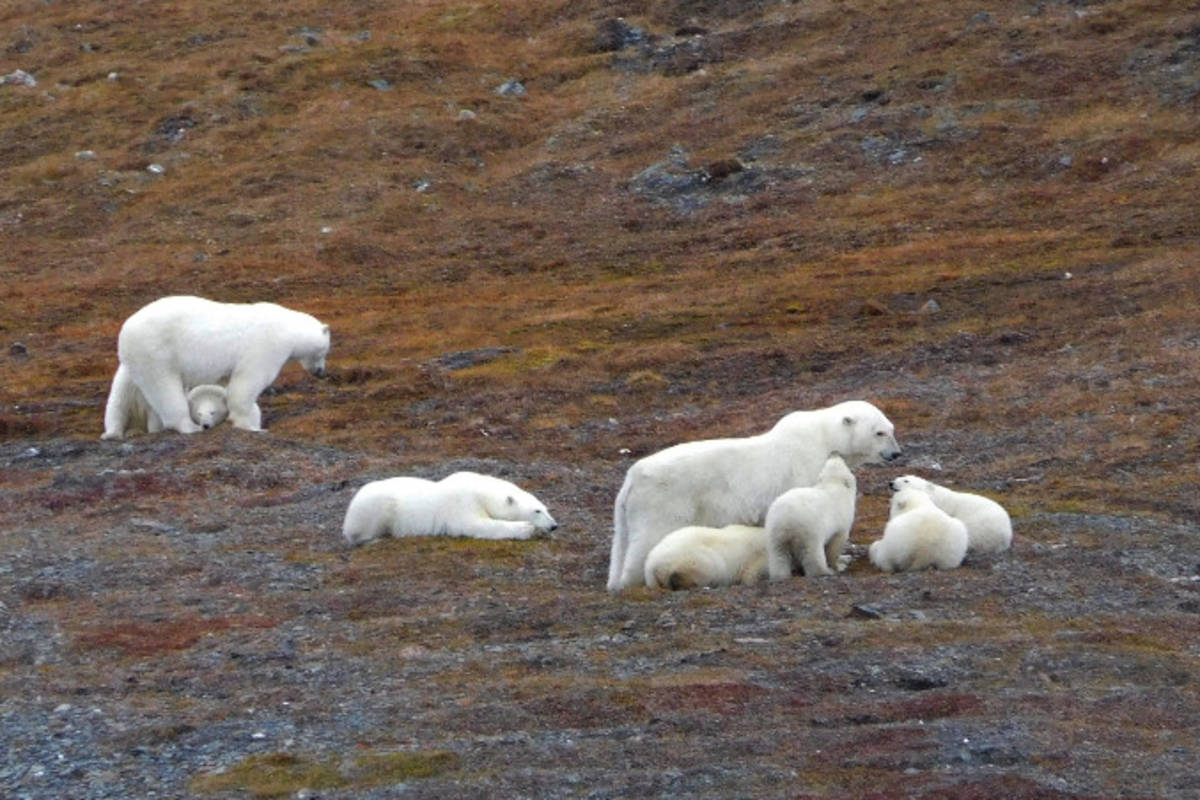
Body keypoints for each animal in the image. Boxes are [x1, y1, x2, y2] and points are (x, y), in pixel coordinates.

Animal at [100, 377, 231, 440]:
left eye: (213, 413)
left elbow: (155, 414)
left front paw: (154, 431)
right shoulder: (128, 386)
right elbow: (117, 406)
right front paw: (110, 435)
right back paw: (133, 432)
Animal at [342, 471, 558, 546]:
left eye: (546, 508)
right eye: (536, 511)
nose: (554, 526)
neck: (480, 491)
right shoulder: (461, 503)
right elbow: (476, 524)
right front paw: (527, 529)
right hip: (375, 507)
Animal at [607, 399, 901, 591]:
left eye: (891, 429)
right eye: (879, 432)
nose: (896, 453)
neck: (823, 438)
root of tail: (633, 476)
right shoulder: (804, 470)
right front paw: (839, 561)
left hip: (627, 510)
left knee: (621, 544)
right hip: (663, 501)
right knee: (646, 541)